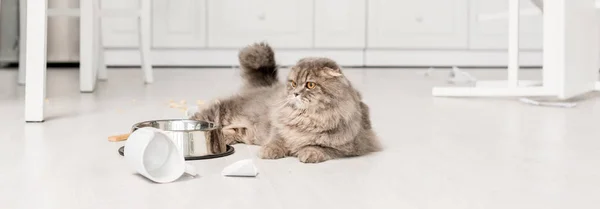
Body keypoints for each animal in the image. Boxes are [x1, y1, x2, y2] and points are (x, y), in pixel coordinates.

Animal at [192, 42, 380, 163]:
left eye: (310, 85)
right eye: (294, 83)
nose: (295, 93)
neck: (308, 118)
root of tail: (266, 85)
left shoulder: (350, 145)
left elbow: (321, 147)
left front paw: (308, 153)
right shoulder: (279, 128)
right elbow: (277, 141)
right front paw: (269, 151)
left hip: (244, 130)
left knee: (233, 131)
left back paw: (224, 138)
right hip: (223, 112)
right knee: (202, 116)